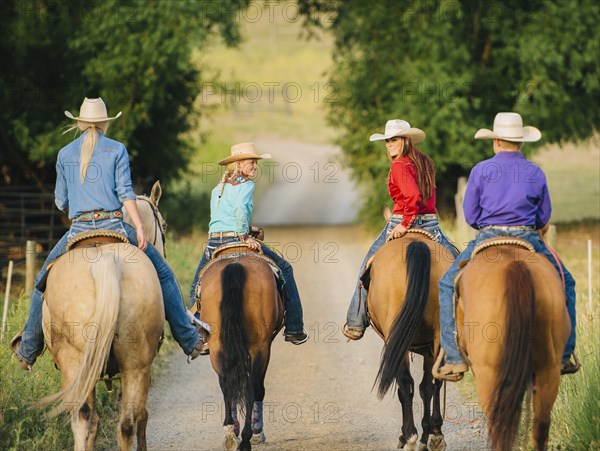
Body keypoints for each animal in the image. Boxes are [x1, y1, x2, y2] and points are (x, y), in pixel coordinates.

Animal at [39, 182, 166, 450]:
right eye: (164, 226)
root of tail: (105, 261)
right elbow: (143, 416)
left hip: (76, 363)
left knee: (84, 417)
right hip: (136, 366)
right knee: (127, 422)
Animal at [196, 245, 282, 450]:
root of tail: (235, 265)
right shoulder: (265, 345)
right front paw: (257, 434)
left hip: (217, 344)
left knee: (226, 383)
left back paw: (230, 433)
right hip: (259, 346)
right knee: (255, 386)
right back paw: (248, 437)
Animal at [366, 233, 454, 451]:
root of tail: (417, 245)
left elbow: (406, 387)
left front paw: (407, 436)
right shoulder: (431, 347)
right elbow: (428, 387)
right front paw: (432, 433)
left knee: (406, 384)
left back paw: (410, 437)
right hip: (438, 335)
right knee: (433, 382)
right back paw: (432, 437)